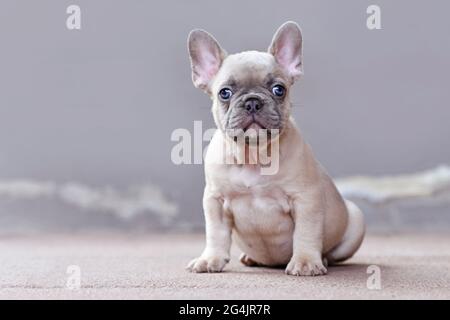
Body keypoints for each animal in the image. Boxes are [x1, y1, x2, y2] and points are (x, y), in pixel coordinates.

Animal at [186, 21, 366, 276]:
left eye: (279, 89)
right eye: (224, 93)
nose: (252, 101)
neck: (253, 156)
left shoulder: (306, 200)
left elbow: (306, 233)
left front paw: (305, 262)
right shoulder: (215, 201)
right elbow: (216, 234)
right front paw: (210, 259)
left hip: (356, 221)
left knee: (333, 252)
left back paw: (323, 258)